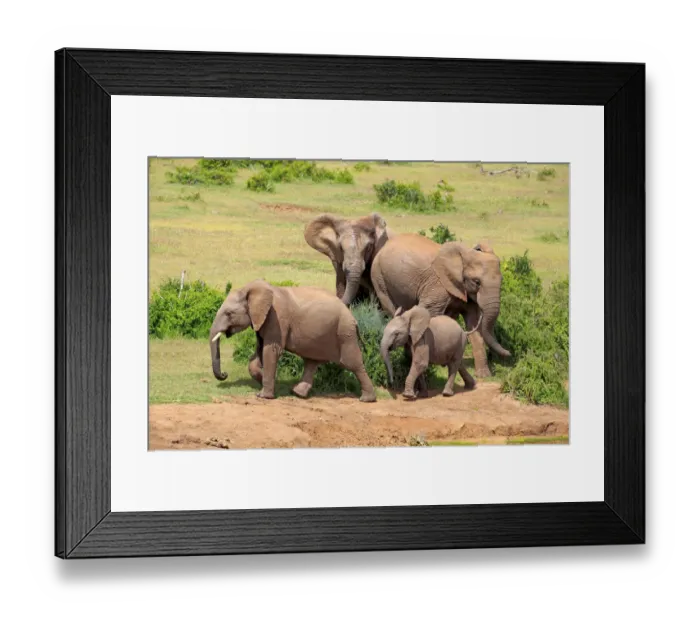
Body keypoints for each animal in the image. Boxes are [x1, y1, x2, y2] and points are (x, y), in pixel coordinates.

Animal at [209, 279, 377, 402]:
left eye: (229, 313)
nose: (224, 374)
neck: (252, 289)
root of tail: (353, 318)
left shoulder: (277, 318)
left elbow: (271, 350)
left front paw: (264, 396)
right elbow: (259, 350)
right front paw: (264, 380)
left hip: (344, 333)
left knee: (352, 363)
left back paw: (366, 399)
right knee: (311, 362)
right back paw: (297, 393)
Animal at [370, 233, 511, 378]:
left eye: (502, 280)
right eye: (477, 282)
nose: (509, 354)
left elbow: (473, 322)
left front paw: (484, 375)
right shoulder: (437, 286)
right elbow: (430, 314)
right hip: (378, 277)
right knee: (391, 309)